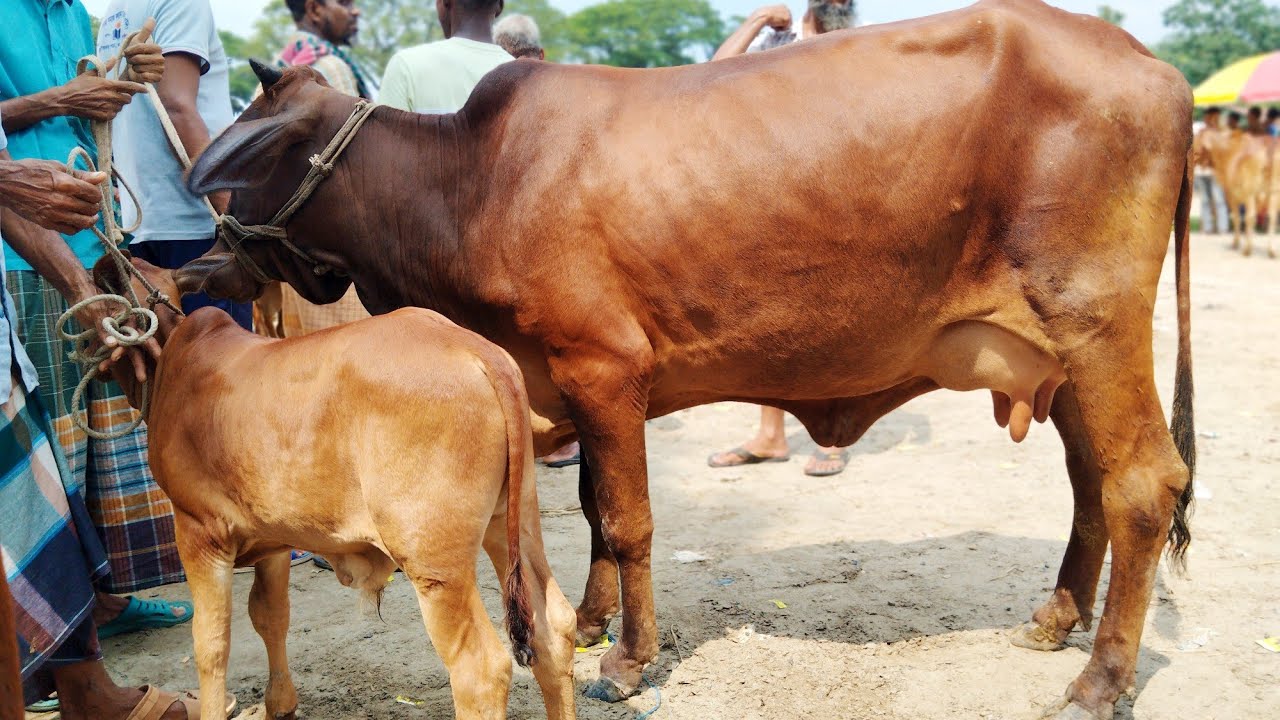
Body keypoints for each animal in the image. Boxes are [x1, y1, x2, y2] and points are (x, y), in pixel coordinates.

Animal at [91, 255, 577, 720]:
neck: (170, 359)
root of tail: (477, 351)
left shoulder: (199, 531)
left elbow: (211, 646)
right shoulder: (274, 538)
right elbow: (270, 615)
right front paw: (280, 704)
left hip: (435, 564)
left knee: (480, 670)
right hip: (513, 521)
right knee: (553, 630)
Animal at [176, 1, 1195, 717]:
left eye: (239, 170)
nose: (195, 265)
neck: (466, 181)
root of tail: (1155, 69)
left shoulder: (603, 368)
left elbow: (628, 521)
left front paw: (627, 660)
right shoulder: (571, 385)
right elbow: (593, 508)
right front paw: (591, 623)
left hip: (1099, 325)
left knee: (1145, 486)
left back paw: (1101, 680)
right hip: (1060, 357)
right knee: (1091, 480)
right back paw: (1055, 621)